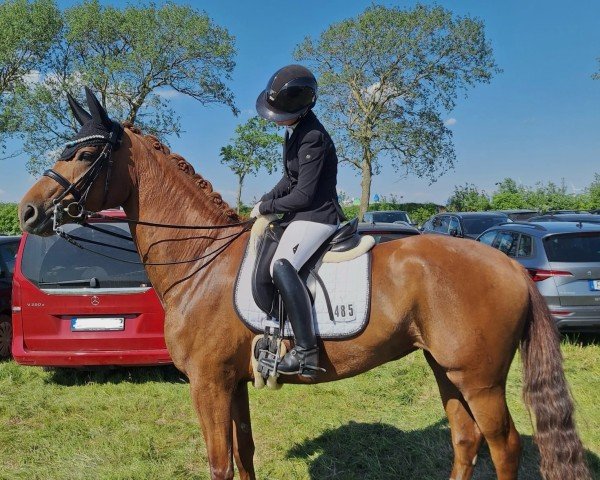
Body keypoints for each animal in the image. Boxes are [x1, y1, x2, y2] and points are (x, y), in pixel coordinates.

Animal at [16, 94, 588, 480]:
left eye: (84, 156)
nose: (27, 212)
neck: (200, 261)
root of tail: (508, 263)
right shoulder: (232, 382)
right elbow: (244, 454)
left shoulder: (207, 383)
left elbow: (220, 463)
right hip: (446, 367)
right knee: (466, 439)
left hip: (480, 378)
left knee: (504, 446)